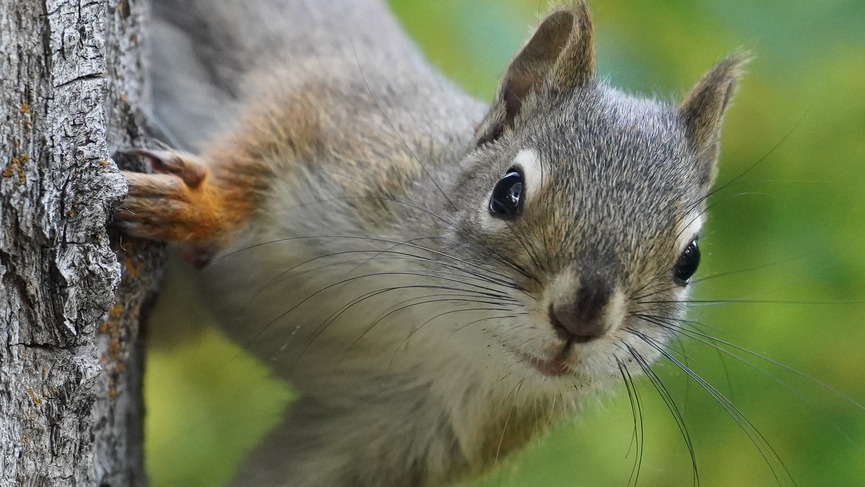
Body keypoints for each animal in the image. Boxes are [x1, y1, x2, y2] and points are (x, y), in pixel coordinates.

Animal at [118, 0, 746, 485]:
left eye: (689, 259)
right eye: (507, 192)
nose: (580, 318)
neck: (444, 319)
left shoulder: (404, 436)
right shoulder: (345, 128)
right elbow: (264, 137)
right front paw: (202, 204)